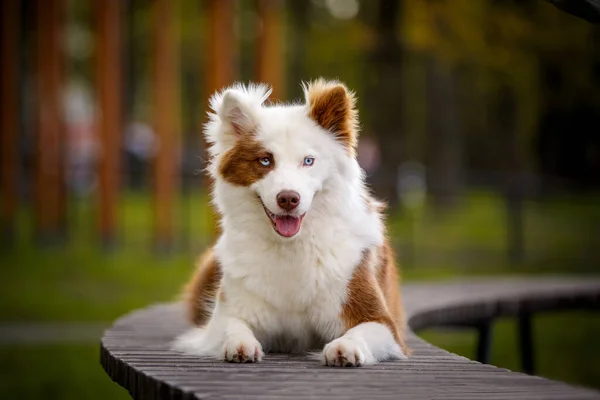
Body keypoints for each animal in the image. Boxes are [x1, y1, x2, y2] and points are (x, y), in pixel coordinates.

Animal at [171, 77, 410, 366]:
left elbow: (361, 331)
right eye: (265, 160)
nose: (288, 199)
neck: (291, 247)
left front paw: (345, 347)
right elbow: (232, 326)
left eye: (308, 161)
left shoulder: (380, 320)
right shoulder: (223, 318)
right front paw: (241, 344)